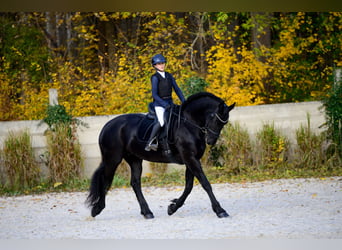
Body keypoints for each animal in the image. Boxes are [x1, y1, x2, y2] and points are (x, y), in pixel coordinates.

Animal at [86, 92, 235, 219]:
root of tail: (107, 126)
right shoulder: (190, 158)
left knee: (135, 183)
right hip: (113, 159)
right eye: (214, 118)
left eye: (224, 123)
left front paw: (172, 207)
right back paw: (97, 209)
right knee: (106, 180)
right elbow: (205, 183)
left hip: (134, 159)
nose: (211, 141)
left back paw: (147, 212)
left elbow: (189, 186)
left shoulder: (192, 159)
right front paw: (220, 210)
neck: (188, 124)